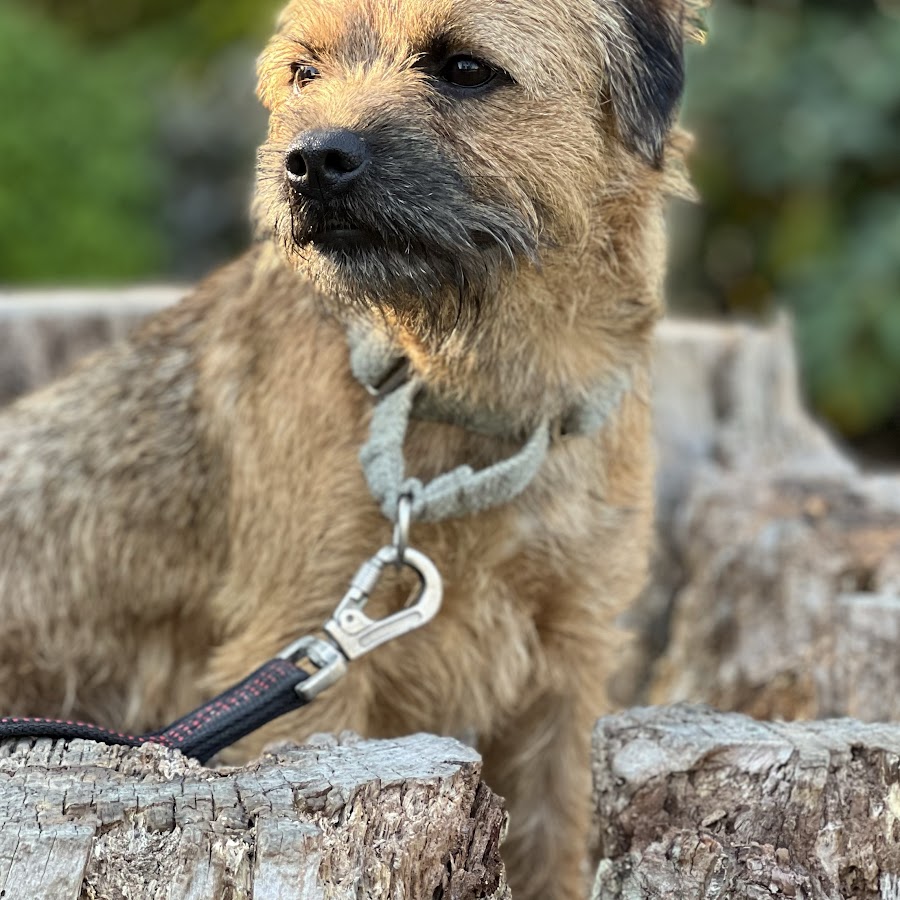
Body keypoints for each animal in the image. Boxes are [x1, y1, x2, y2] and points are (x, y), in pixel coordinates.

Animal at [0, 0, 702, 896]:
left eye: (465, 68)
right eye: (305, 72)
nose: (310, 161)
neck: (467, 399)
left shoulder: (566, 667)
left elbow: (556, 842)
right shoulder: (306, 657)